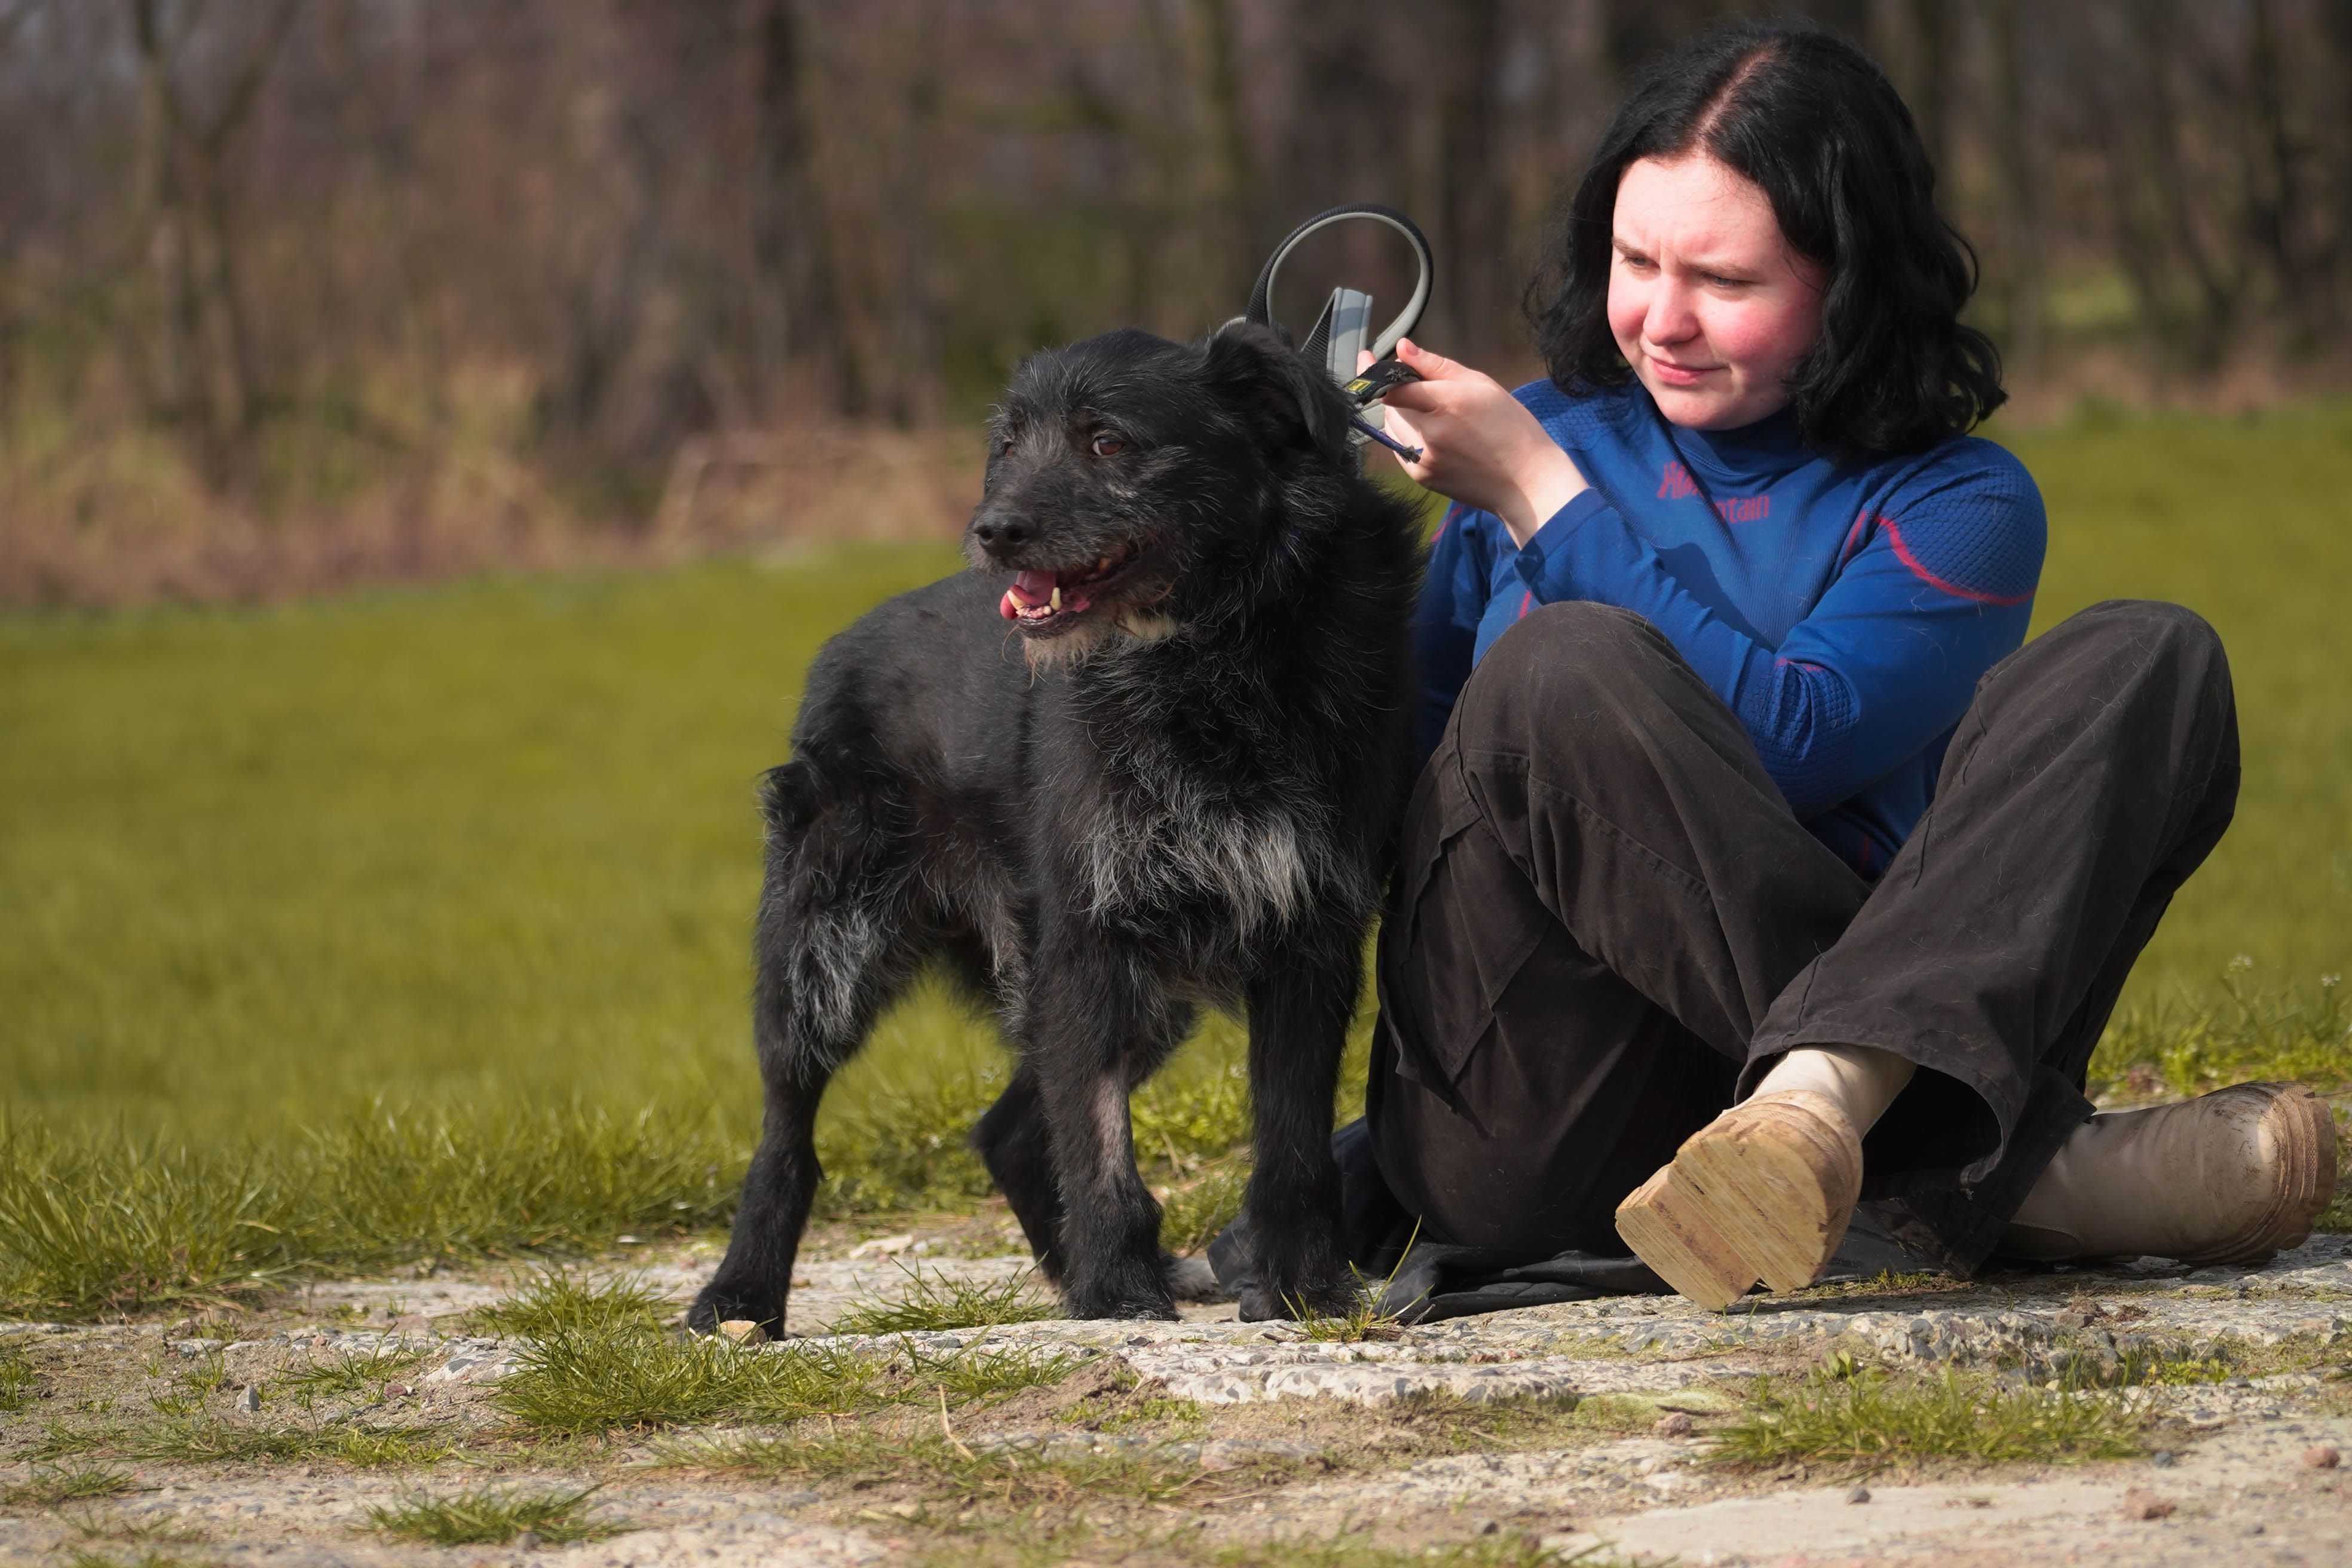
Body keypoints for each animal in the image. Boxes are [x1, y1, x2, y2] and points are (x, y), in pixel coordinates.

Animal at [687, 324, 1420, 1335]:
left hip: (1141, 999)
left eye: (1106, 440)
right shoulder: (1085, 934)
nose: (994, 531)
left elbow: (1293, 1142)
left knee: (1008, 1128)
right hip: (824, 949)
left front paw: (1306, 1289)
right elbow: (1100, 1144)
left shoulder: (1310, 930)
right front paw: (1116, 1292)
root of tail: (842, 648)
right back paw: (740, 1292)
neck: (1205, 659)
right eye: (1008, 445)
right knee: (787, 1129)